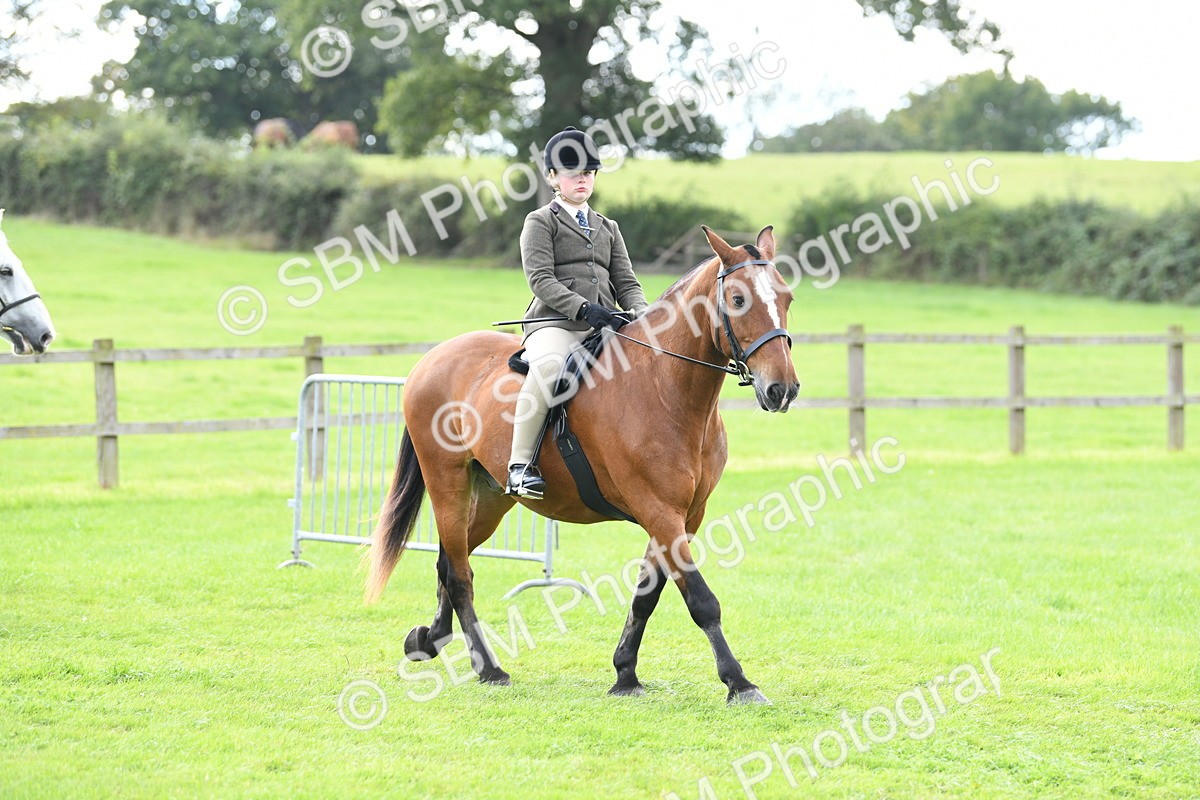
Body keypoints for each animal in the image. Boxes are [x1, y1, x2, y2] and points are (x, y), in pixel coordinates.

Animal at [365, 225, 799, 704]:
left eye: (787, 298)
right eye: (738, 300)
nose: (782, 389)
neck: (664, 387)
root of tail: (432, 358)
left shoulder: (685, 516)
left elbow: (646, 595)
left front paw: (625, 674)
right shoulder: (659, 511)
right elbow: (701, 600)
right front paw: (739, 682)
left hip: (492, 497)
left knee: (449, 559)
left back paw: (429, 639)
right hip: (447, 483)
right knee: (459, 574)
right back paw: (489, 668)